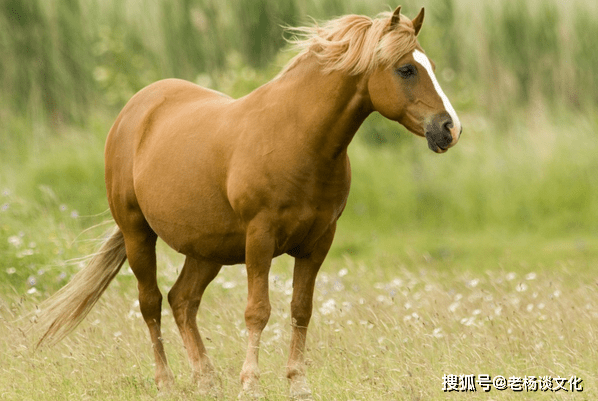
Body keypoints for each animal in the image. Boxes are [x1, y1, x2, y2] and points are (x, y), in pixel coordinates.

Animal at [34, 6, 464, 400]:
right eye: (406, 69)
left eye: (430, 65)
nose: (449, 128)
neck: (298, 137)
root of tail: (136, 109)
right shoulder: (260, 237)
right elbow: (258, 311)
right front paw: (251, 383)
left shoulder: (318, 242)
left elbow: (301, 309)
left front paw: (297, 383)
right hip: (138, 234)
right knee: (151, 303)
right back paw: (166, 382)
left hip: (207, 250)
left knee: (182, 301)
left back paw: (206, 380)